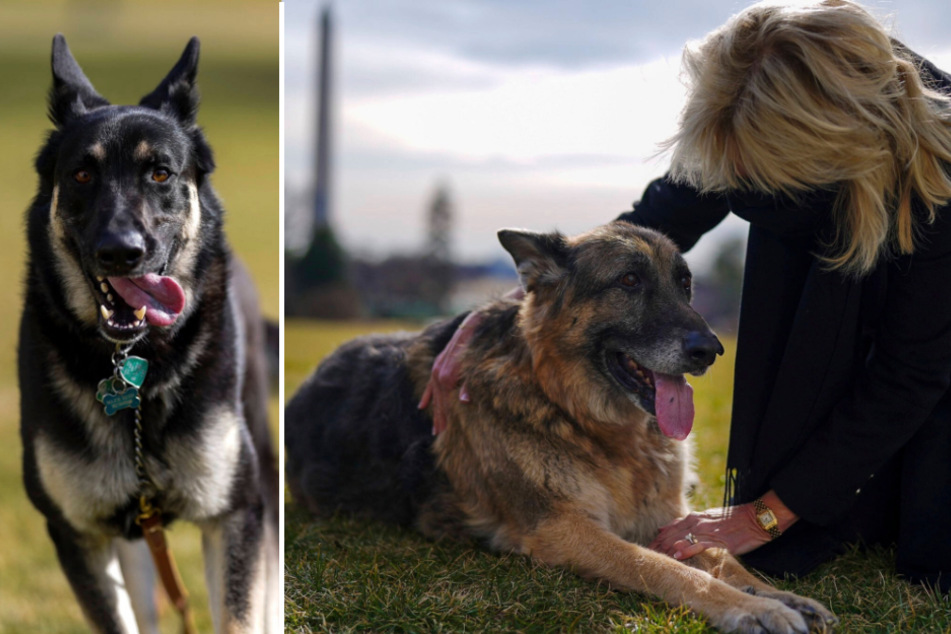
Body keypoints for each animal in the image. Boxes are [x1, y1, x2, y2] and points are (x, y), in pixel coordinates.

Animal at [19, 35, 278, 632]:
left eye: (160, 173)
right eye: (82, 175)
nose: (121, 252)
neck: (136, 369)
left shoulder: (235, 515)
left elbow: (240, 613)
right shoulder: (78, 534)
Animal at [286, 222, 836, 632]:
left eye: (685, 284)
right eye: (629, 282)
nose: (711, 350)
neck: (579, 414)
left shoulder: (669, 517)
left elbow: (721, 555)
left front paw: (777, 595)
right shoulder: (564, 529)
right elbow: (665, 568)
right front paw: (752, 608)